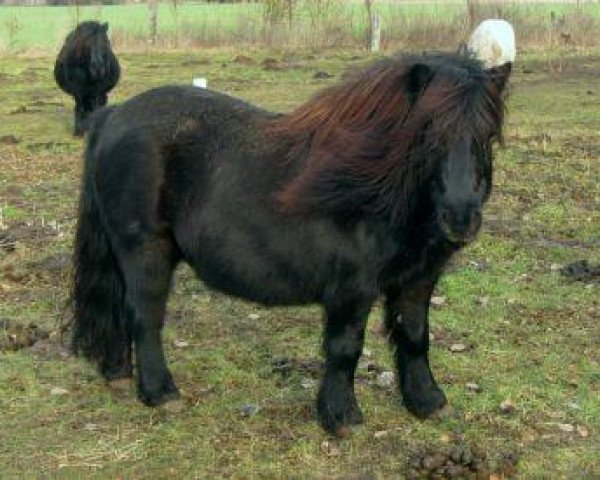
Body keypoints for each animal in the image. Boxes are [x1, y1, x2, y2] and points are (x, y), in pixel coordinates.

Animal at [70, 51, 510, 436]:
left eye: (488, 135)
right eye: (429, 133)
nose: (460, 217)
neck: (369, 185)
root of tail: (113, 116)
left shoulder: (417, 281)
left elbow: (415, 336)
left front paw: (426, 401)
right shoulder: (352, 289)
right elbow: (345, 348)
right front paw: (340, 416)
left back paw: (118, 374)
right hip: (145, 250)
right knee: (143, 316)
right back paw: (159, 392)